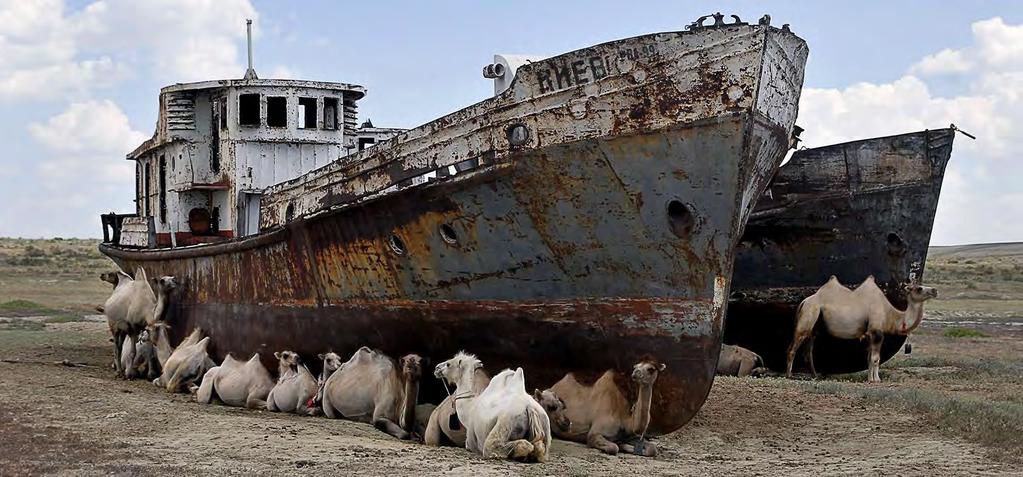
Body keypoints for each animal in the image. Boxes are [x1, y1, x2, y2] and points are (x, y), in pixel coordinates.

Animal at [785, 274, 937, 382]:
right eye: (919, 288)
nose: (935, 290)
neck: (890, 314)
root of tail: (804, 301)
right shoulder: (876, 331)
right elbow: (876, 358)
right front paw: (876, 380)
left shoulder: (869, 333)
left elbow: (869, 357)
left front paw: (870, 378)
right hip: (809, 315)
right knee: (793, 348)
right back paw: (789, 375)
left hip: (815, 325)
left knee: (808, 350)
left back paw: (815, 375)